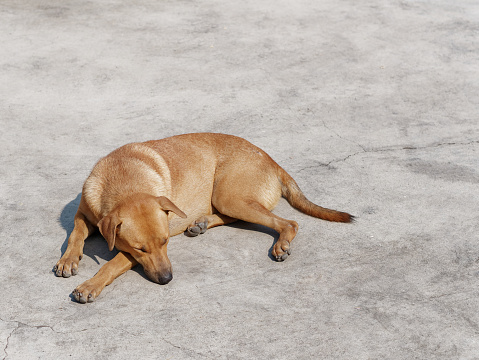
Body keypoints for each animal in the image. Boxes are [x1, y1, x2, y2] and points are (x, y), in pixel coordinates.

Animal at [53, 134, 352, 302]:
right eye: (141, 248)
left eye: (165, 242)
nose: (167, 279)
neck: (124, 180)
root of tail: (273, 162)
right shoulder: (85, 214)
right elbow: (75, 234)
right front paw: (68, 260)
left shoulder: (127, 251)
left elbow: (110, 265)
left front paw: (89, 285)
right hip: (228, 199)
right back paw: (201, 223)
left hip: (228, 195)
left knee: (288, 222)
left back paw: (281, 244)